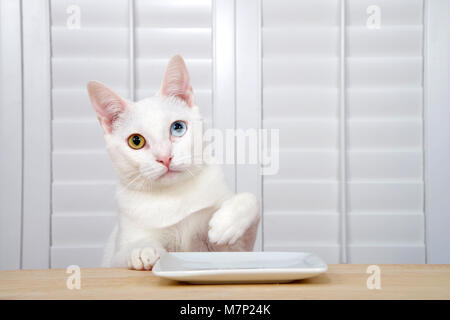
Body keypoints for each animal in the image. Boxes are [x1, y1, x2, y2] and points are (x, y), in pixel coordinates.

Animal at [87, 55, 260, 270]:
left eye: (178, 127)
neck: (174, 196)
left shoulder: (235, 251)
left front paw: (228, 221)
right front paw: (143, 249)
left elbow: (252, 200)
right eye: (136, 141)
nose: (165, 157)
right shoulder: (116, 256)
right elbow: (128, 252)